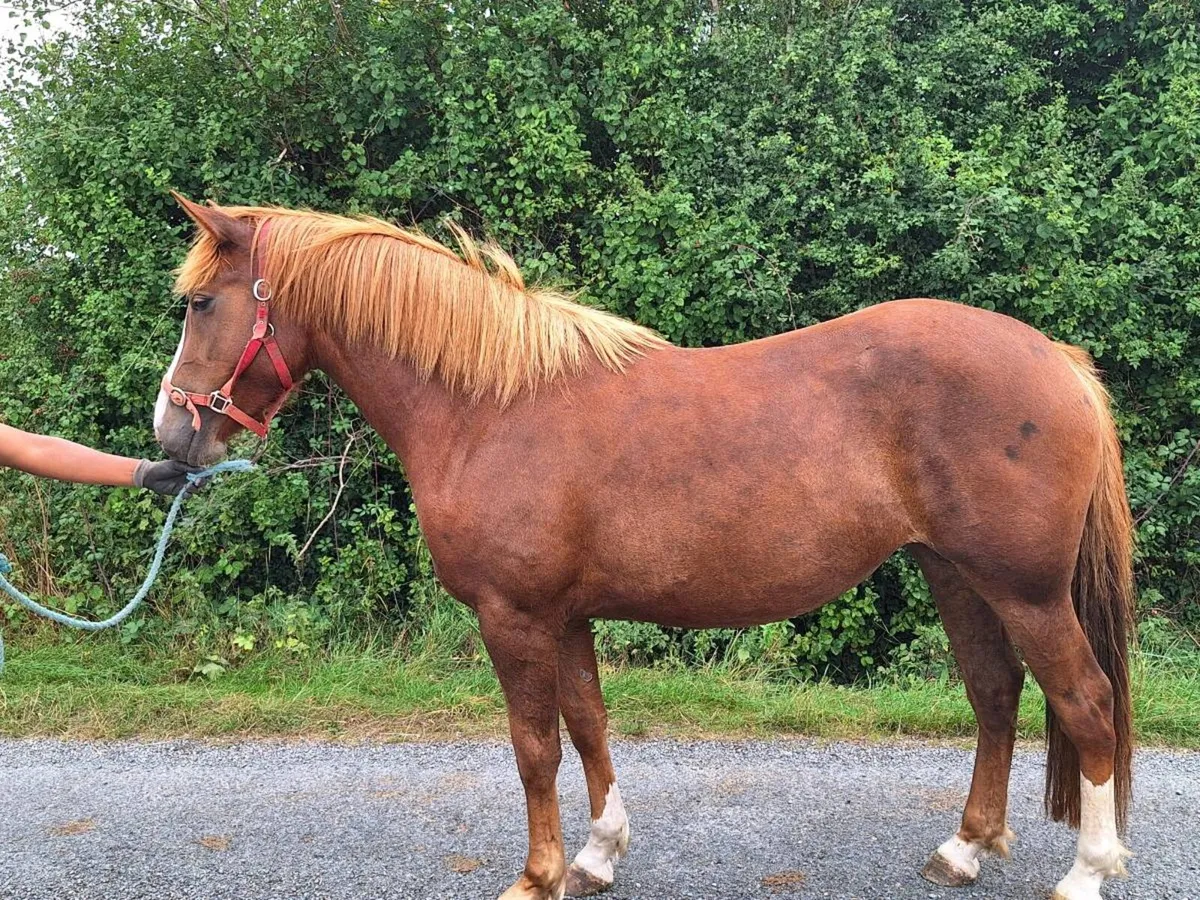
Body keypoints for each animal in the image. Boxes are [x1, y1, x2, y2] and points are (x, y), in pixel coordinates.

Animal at [154, 193, 1135, 900]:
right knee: (996, 695)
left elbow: (534, 746)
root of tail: (1056, 359)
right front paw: (597, 857)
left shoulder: (514, 617)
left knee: (1085, 703)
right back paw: (963, 849)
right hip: (956, 575)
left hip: (1025, 590)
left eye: (201, 303)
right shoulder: (565, 615)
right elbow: (587, 724)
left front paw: (538, 877)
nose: (170, 438)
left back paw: (1086, 873)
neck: (489, 408)